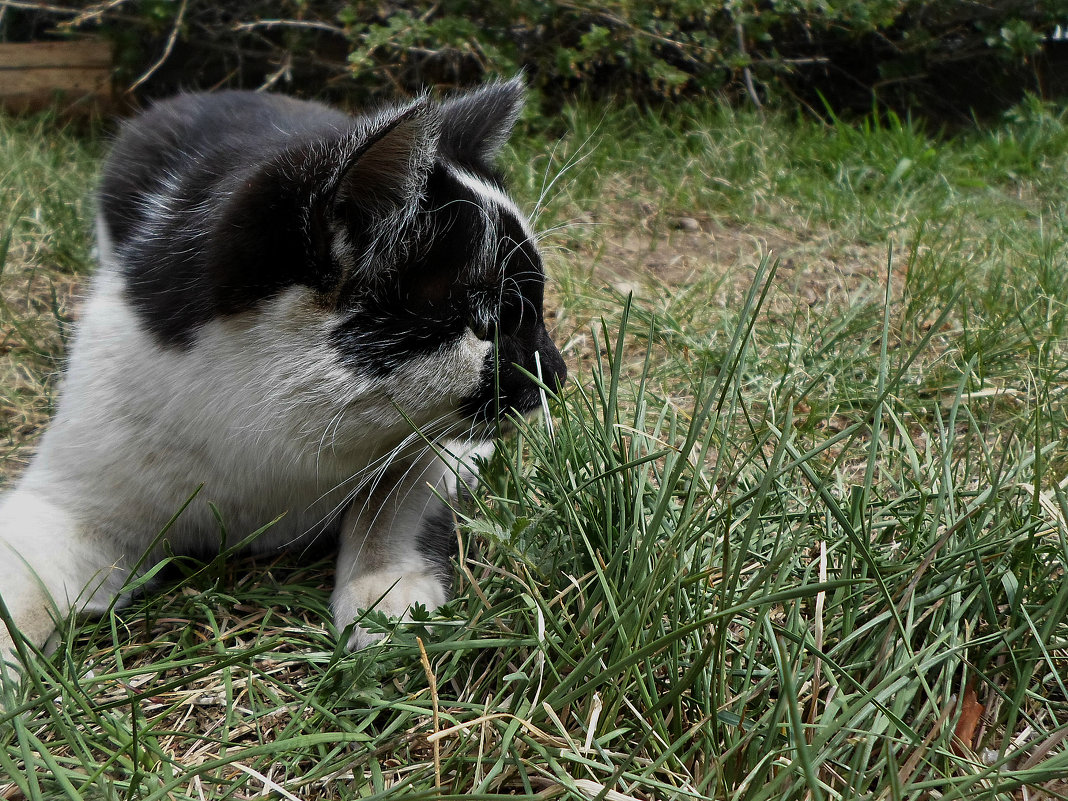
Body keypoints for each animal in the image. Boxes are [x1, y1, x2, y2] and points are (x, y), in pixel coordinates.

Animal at [0, 76, 568, 666]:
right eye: (491, 322)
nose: (556, 374)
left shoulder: (432, 454)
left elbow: (394, 499)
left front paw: (388, 596)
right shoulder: (67, 494)